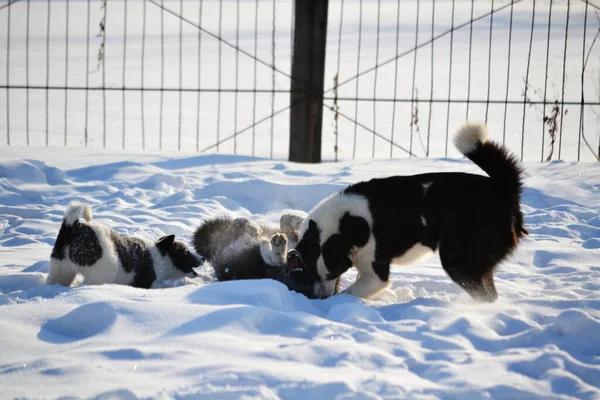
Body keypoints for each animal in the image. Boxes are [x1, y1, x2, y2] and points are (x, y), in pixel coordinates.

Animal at [47, 203, 202, 288]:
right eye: (185, 252)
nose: (203, 258)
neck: (159, 256)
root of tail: (73, 227)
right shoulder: (144, 283)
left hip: (61, 271)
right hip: (100, 274)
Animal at [288, 122, 528, 304]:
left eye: (332, 274)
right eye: (310, 272)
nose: (317, 298)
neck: (348, 224)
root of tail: (502, 189)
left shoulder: (376, 275)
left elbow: (350, 292)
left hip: (458, 261)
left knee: (486, 295)